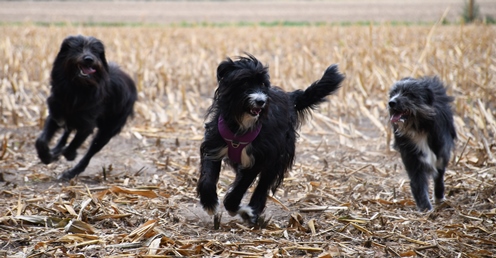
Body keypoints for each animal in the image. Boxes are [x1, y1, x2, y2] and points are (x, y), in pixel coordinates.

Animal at [35, 35, 137, 180]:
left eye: (95, 51)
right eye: (78, 48)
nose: (89, 59)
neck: (77, 88)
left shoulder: (87, 125)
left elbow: (74, 144)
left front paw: (68, 154)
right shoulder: (56, 114)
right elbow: (41, 140)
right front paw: (46, 156)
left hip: (107, 131)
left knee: (90, 153)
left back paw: (71, 172)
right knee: (67, 132)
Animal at [198, 54, 344, 224]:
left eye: (262, 83)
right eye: (245, 81)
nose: (261, 101)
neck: (241, 125)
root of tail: (289, 97)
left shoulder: (258, 157)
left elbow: (241, 186)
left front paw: (233, 206)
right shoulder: (214, 145)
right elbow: (208, 176)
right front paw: (209, 202)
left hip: (278, 156)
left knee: (263, 184)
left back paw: (251, 211)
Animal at [388, 77, 458, 212]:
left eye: (409, 94)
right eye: (393, 93)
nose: (391, 102)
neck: (418, 126)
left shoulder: (441, 153)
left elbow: (439, 177)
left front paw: (439, 198)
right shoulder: (412, 158)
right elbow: (418, 183)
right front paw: (426, 209)